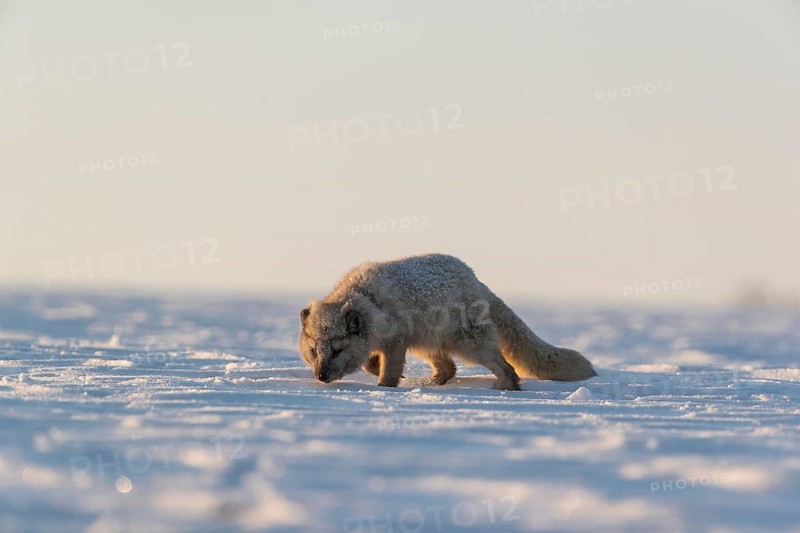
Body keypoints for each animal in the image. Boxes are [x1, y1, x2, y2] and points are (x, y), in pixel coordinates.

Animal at [299, 253, 597, 390]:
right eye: (314, 351)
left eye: (337, 350)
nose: (321, 377)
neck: (367, 298)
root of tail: (477, 281)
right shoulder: (391, 342)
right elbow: (374, 363)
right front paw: (384, 373)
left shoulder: (397, 340)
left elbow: (389, 371)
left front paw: (386, 387)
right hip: (429, 343)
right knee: (449, 369)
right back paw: (431, 384)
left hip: (469, 345)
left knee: (507, 368)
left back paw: (503, 389)